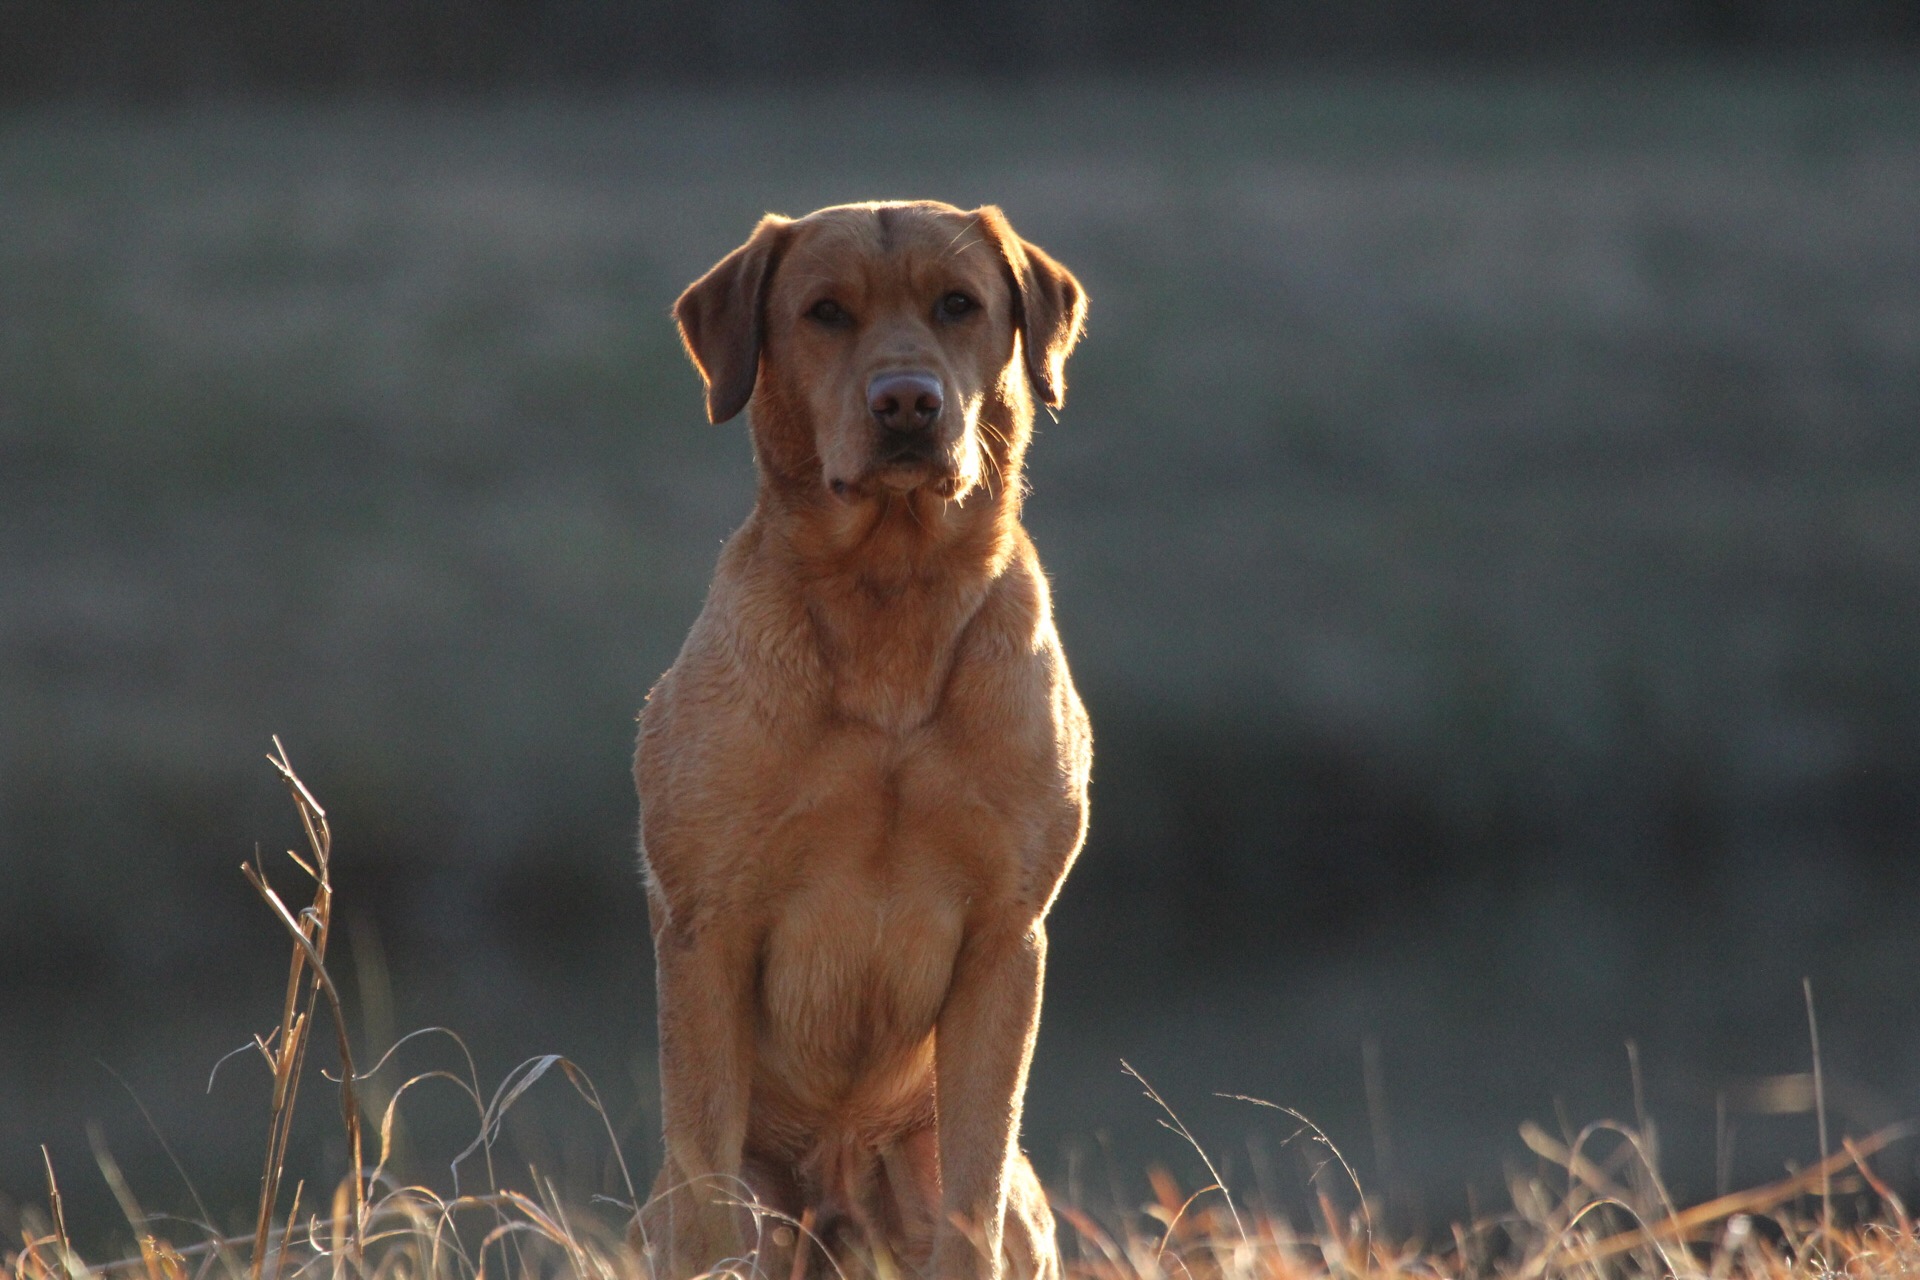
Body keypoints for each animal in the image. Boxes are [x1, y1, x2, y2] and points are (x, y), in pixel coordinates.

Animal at [637, 200, 1090, 1280]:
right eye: (825, 312)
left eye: (959, 304)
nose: (907, 402)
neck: (893, 602)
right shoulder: (706, 928)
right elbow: (708, 1199)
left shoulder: (1007, 938)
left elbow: (972, 1197)